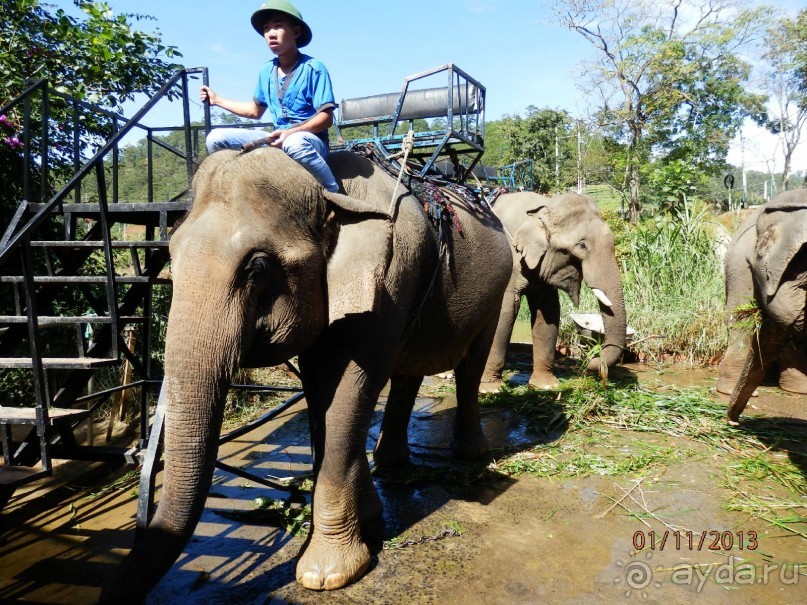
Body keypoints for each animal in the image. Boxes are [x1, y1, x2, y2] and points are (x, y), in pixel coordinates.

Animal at [102, 143, 512, 600]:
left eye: (258, 267)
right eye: (170, 255)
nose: (107, 592)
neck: (328, 188)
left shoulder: (388, 278)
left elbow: (347, 391)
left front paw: (326, 574)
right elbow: (320, 390)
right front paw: (371, 523)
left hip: (497, 290)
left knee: (471, 366)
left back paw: (470, 453)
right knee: (408, 372)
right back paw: (391, 464)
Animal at [482, 193, 628, 392]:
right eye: (582, 246)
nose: (591, 360)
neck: (542, 206)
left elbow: (549, 310)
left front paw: (546, 386)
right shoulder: (508, 259)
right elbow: (505, 309)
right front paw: (490, 389)